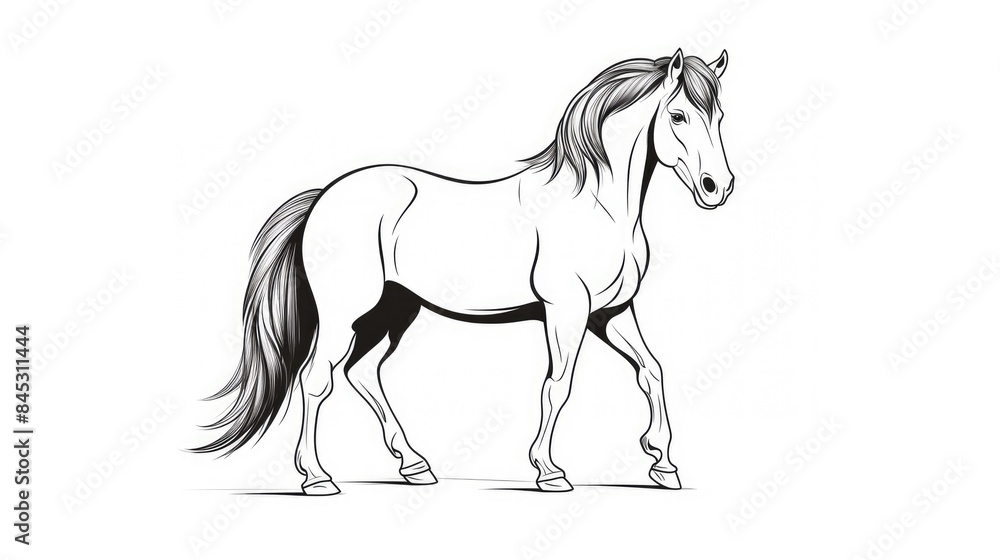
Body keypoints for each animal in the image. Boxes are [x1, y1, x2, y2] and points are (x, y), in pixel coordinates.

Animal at [193, 49, 735, 495]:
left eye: (719, 115)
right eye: (678, 115)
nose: (718, 186)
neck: (597, 206)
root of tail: (324, 197)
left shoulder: (610, 313)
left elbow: (652, 372)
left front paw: (663, 465)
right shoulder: (567, 310)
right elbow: (558, 385)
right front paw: (549, 471)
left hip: (394, 310)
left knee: (363, 372)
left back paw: (414, 466)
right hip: (346, 314)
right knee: (317, 379)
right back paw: (318, 479)